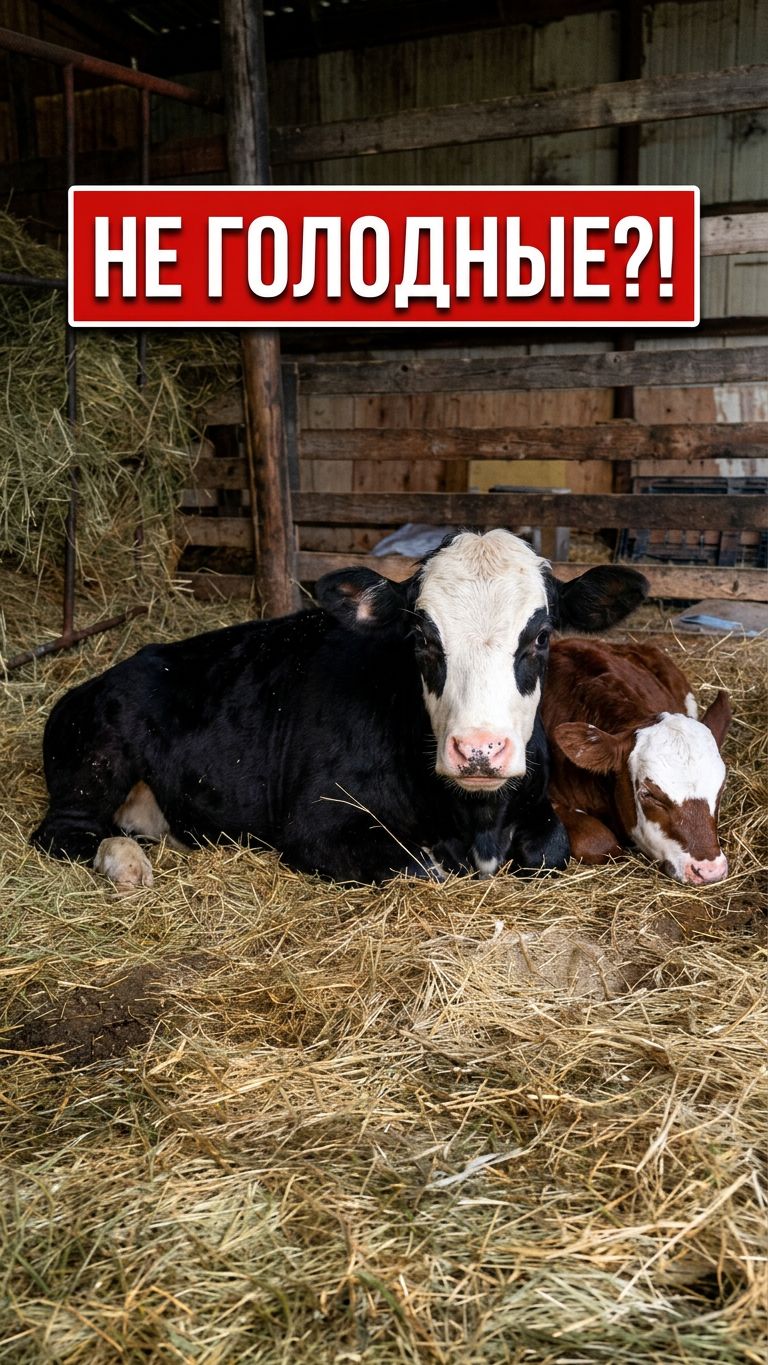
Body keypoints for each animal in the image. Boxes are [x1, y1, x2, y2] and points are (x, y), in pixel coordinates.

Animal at [31, 529, 647, 888]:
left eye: (541, 637)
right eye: (421, 638)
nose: (479, 750)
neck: (479, 824)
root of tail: (104, 676)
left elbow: (550, 847)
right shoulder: (316, 826)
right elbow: (427, 864)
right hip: (96, 761)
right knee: (62, 834)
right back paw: (126, 863)